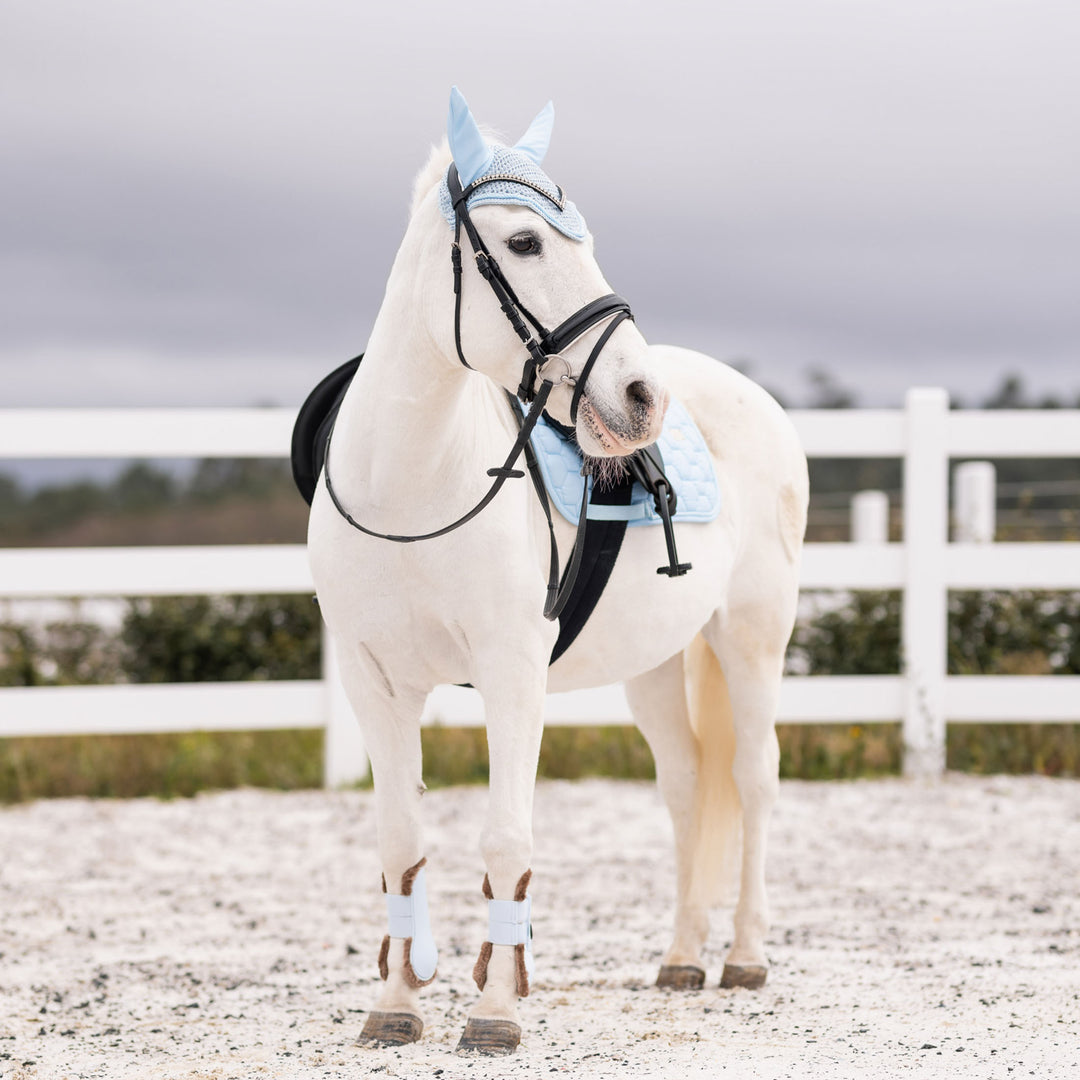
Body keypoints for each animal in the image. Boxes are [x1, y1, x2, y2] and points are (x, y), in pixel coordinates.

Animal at [305, 87, 808, 1055]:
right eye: (526, 242)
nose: (642, 397)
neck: (412, 490)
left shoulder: (512, 673)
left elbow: (506, 840)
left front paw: (496, 1013)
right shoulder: (373, 681)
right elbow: (399, 840)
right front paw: (396, 1005)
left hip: (752, 636)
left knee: (754, 778)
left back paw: (745, 956)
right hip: (655, 662)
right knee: (688, 787)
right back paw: (681, 959)